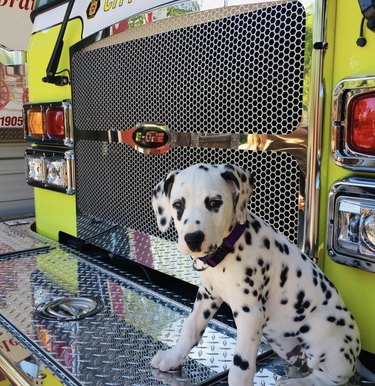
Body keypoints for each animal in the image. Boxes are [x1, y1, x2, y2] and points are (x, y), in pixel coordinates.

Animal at [151, 164, 362, 386]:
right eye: (178, 204)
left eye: (215, 202)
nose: (193, 239)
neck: (228, 249)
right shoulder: (207, 296)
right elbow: (191, 328)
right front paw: (172, 357)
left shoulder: (250, 314)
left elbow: (240, 366)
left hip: (329, 335)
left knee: (328, 377)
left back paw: (294, 382)